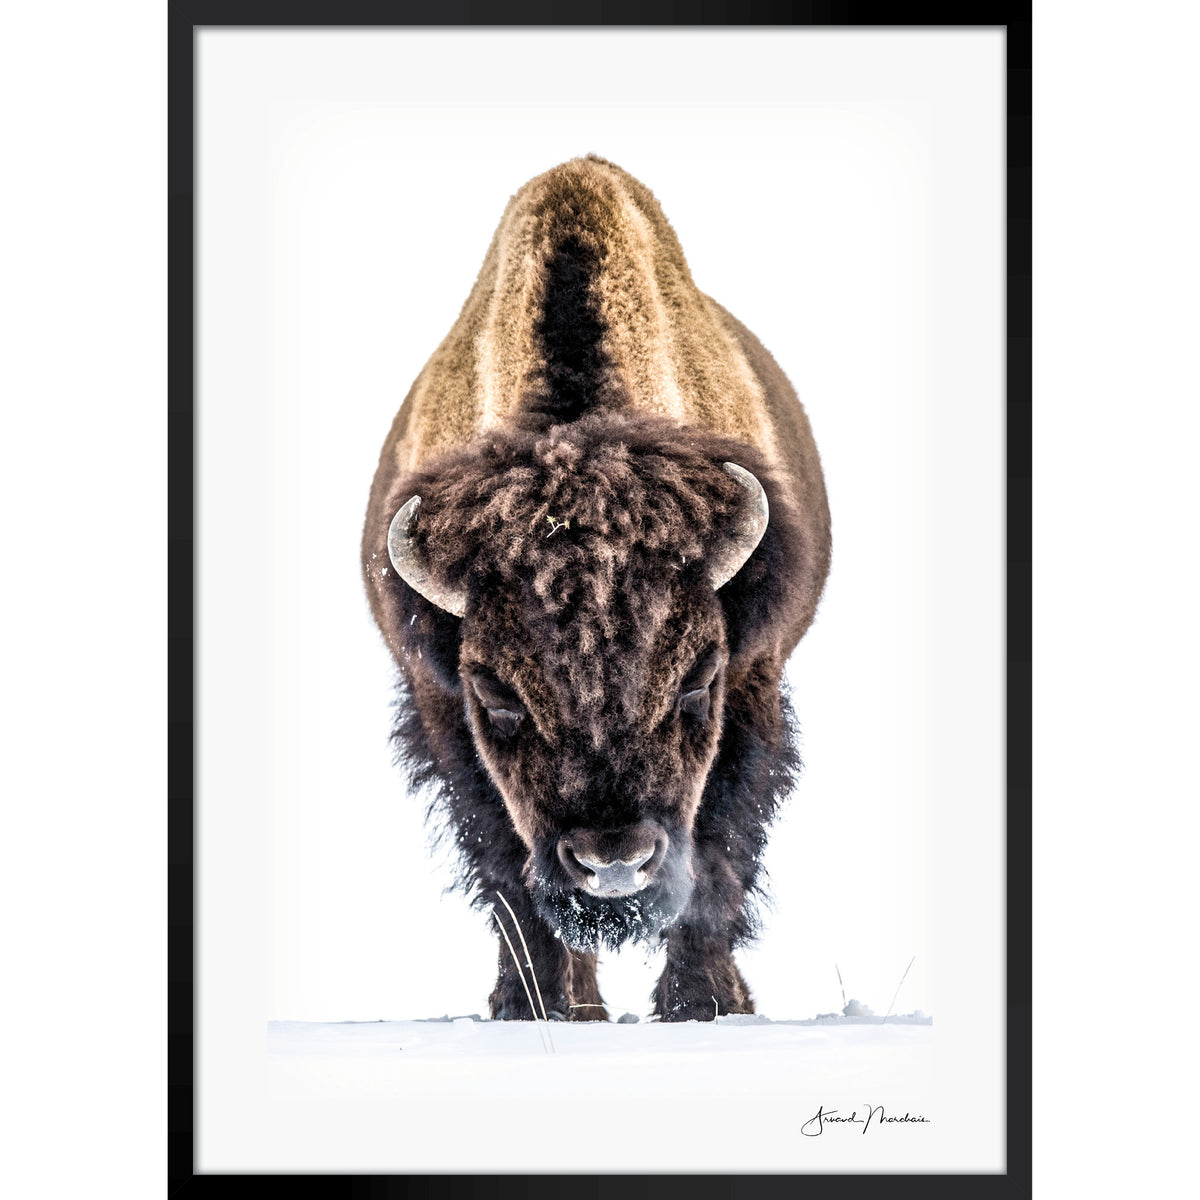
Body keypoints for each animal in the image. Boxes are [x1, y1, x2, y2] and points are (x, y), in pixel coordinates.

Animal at [362, 156, 830, 1021]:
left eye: (698, 680)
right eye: (497, 693)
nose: (613, 862)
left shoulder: (754, 681)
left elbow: (718, 852)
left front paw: (702, 1004)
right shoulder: (440, 707)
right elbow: (508, 871)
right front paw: (536, 1007)